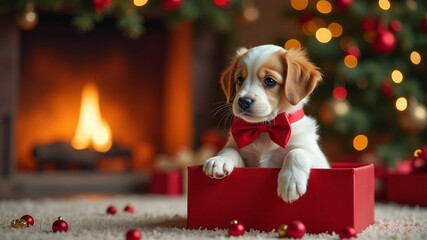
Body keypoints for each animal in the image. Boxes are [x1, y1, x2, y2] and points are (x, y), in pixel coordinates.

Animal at [204, 44, 332, 202]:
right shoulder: (247, 163)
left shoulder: (320, 161)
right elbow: (230, 150)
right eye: (239, 80)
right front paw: (218, 159)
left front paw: (290, 181)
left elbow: (297, 152)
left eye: (269, 81)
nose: (243, 101)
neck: (264, 129)